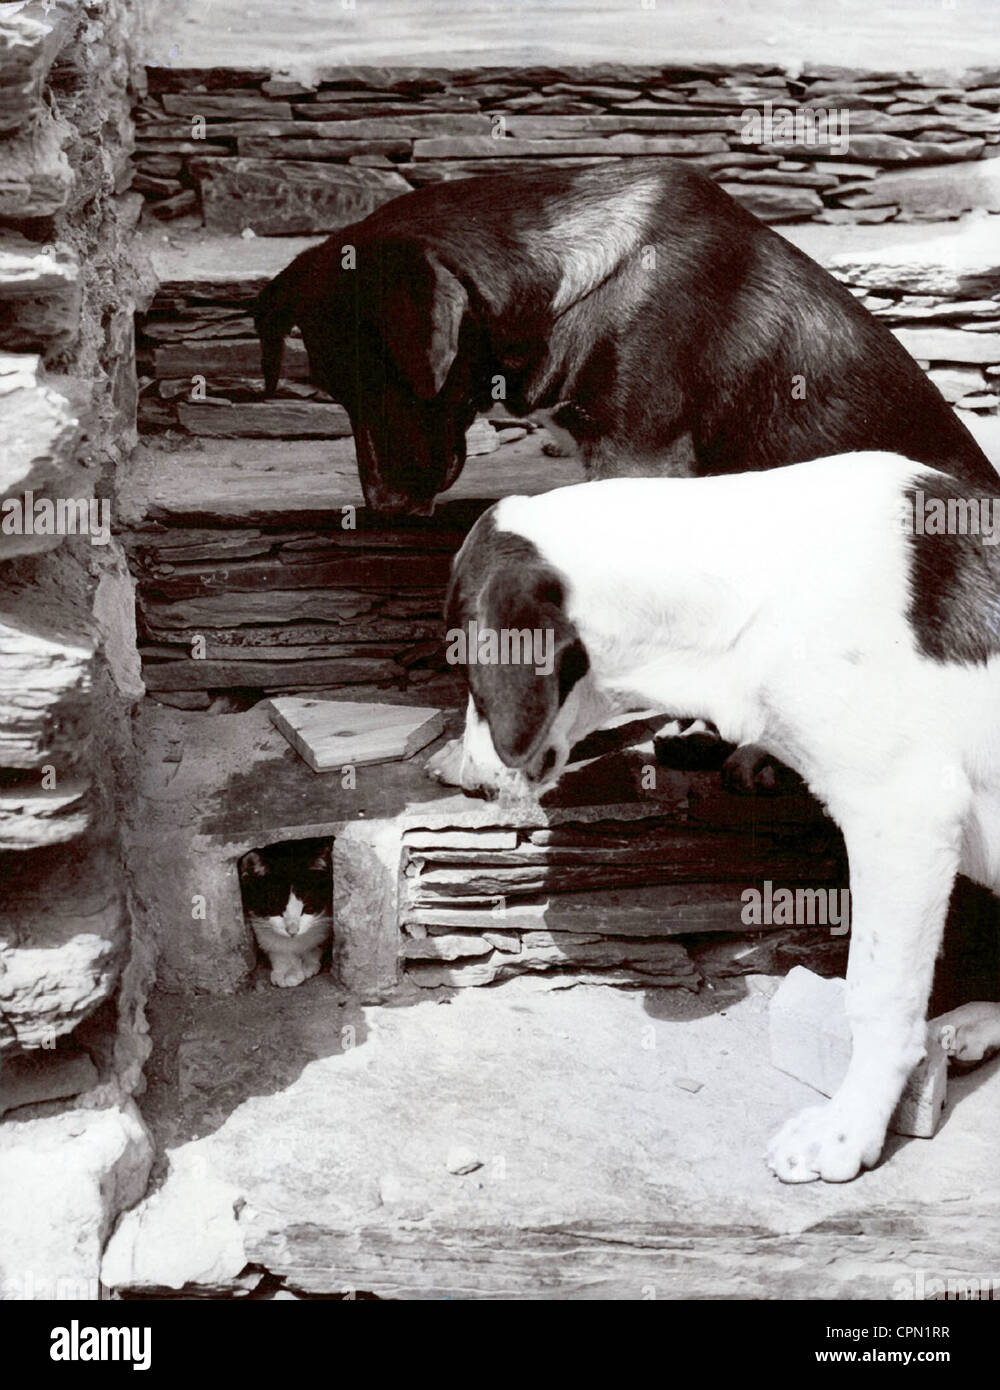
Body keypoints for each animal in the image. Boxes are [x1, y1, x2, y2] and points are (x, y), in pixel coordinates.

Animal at [237, 834, 332, 989]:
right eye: (275, 908)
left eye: (308, 908)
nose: (292, 931)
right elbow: (274, 944)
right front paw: (289, 971)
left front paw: (308, 960)